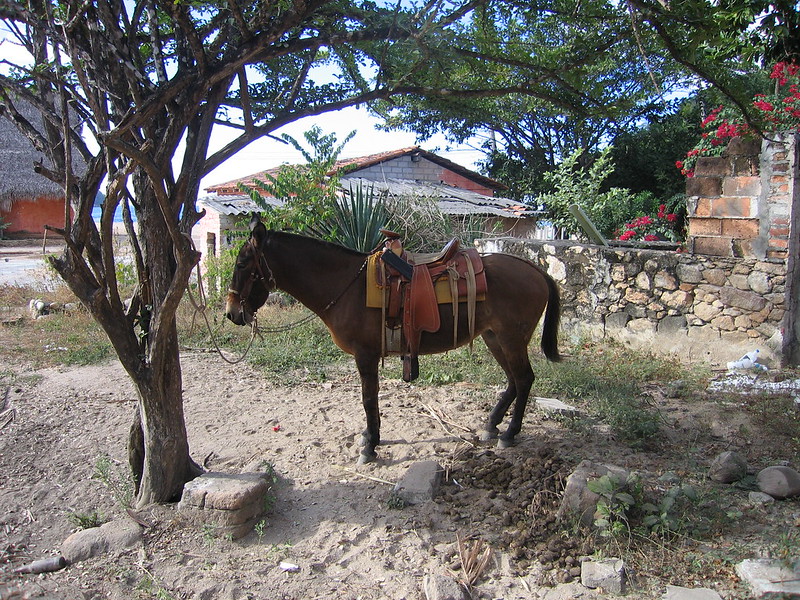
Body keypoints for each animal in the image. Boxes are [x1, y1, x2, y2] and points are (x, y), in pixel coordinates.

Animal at [225, 219, 564, 464]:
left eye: (242, 265)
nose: (231, 313)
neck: (347, 286)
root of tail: (536, 270)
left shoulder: (365, 355)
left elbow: (368, 399)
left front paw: (370, 445)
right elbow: (370, 399)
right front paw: (370, 438)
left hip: (511, 338)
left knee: (524, 379)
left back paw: (510, 432)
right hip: (495, 338)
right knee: (513, 380)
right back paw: (493, 424)